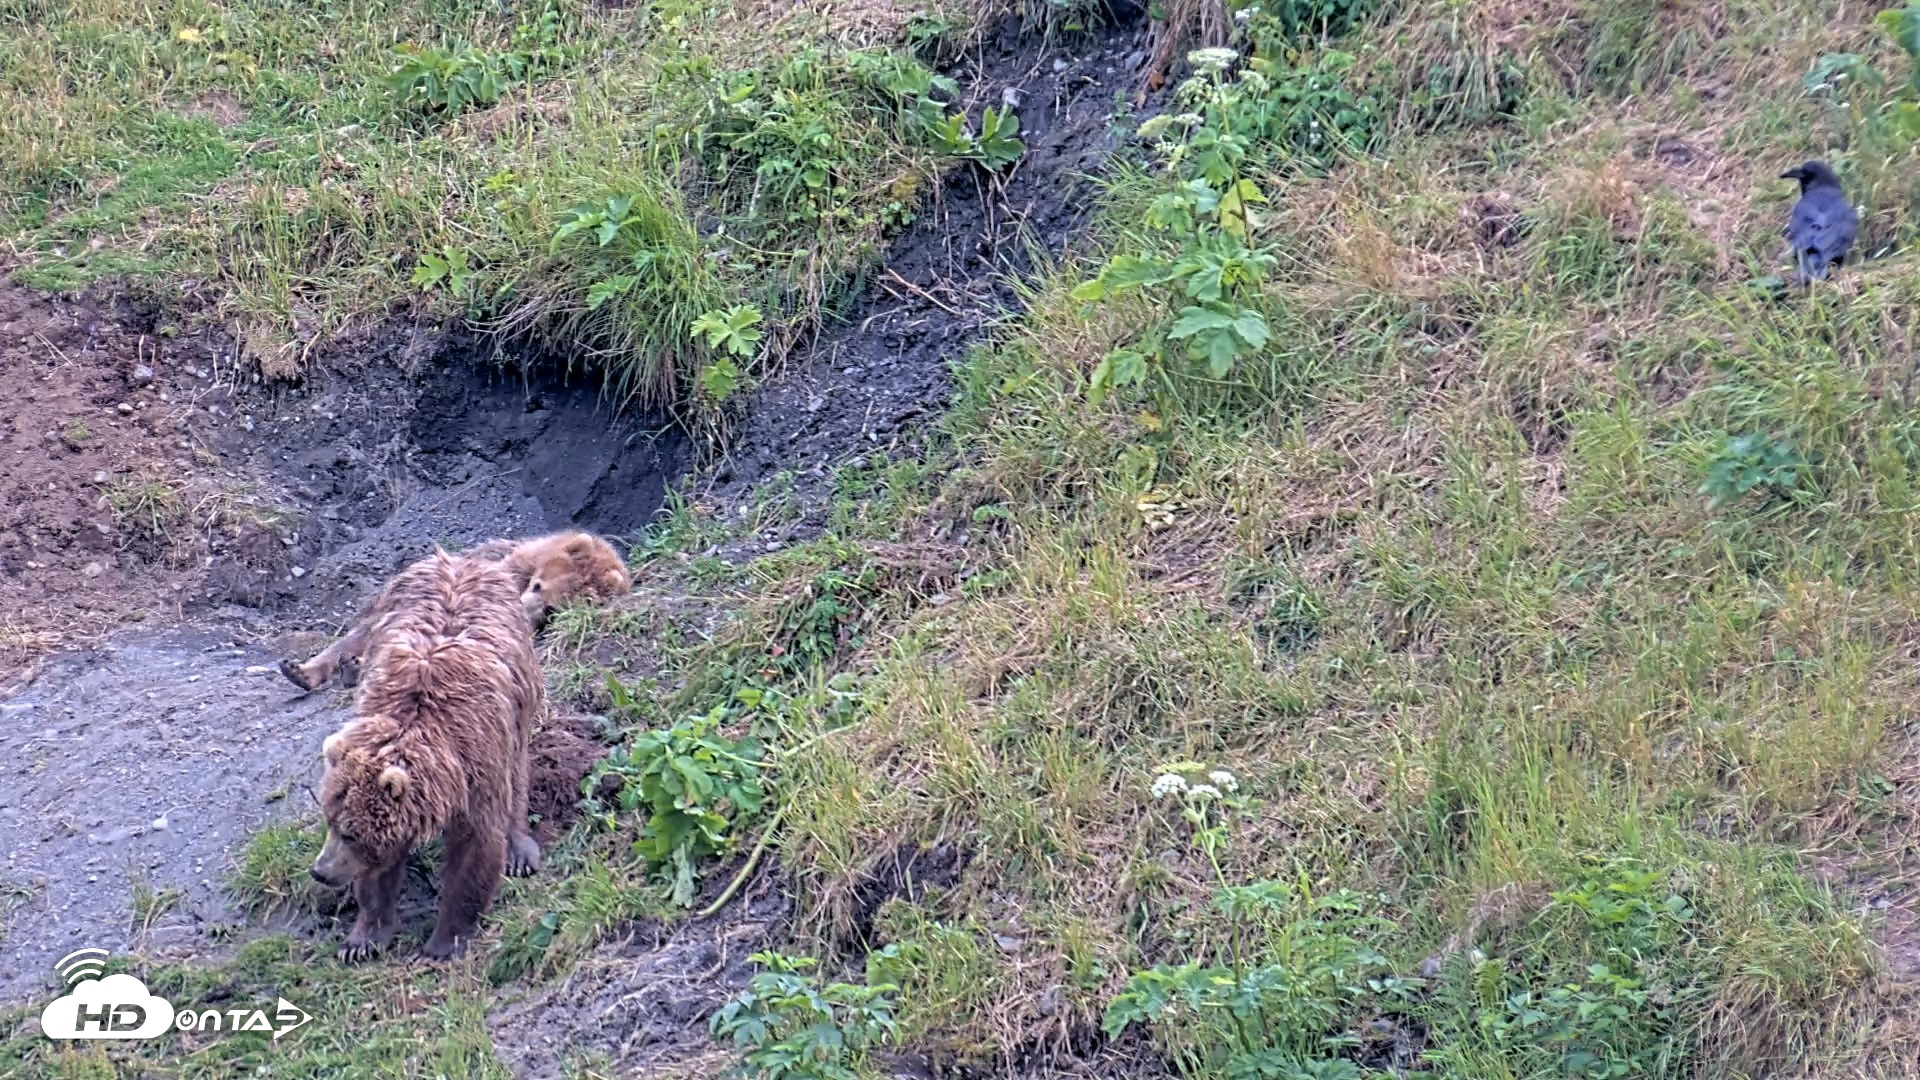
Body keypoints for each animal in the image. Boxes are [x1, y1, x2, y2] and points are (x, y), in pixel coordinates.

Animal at [306, 550, 544, 962]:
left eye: (350, 833)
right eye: (330, 822)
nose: (320, 871)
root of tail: (459, 559)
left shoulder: (476, 767)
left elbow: (474, 849)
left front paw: (442, 943)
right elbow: (380, 869)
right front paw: (362, 939)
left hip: (519, 699)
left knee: (516, 773)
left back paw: (519, 850)